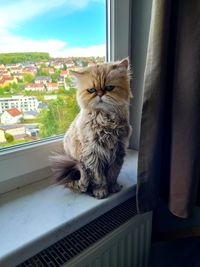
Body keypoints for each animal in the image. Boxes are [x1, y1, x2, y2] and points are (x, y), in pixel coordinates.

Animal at [50, 58, 132, 199]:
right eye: (92, 90)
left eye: (109, 88)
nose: (100, 94)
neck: (105, 120)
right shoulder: (92, 153)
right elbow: (97, 177)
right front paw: (101, 191)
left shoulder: (119, 150)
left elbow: (113, 174)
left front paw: (113, 187)